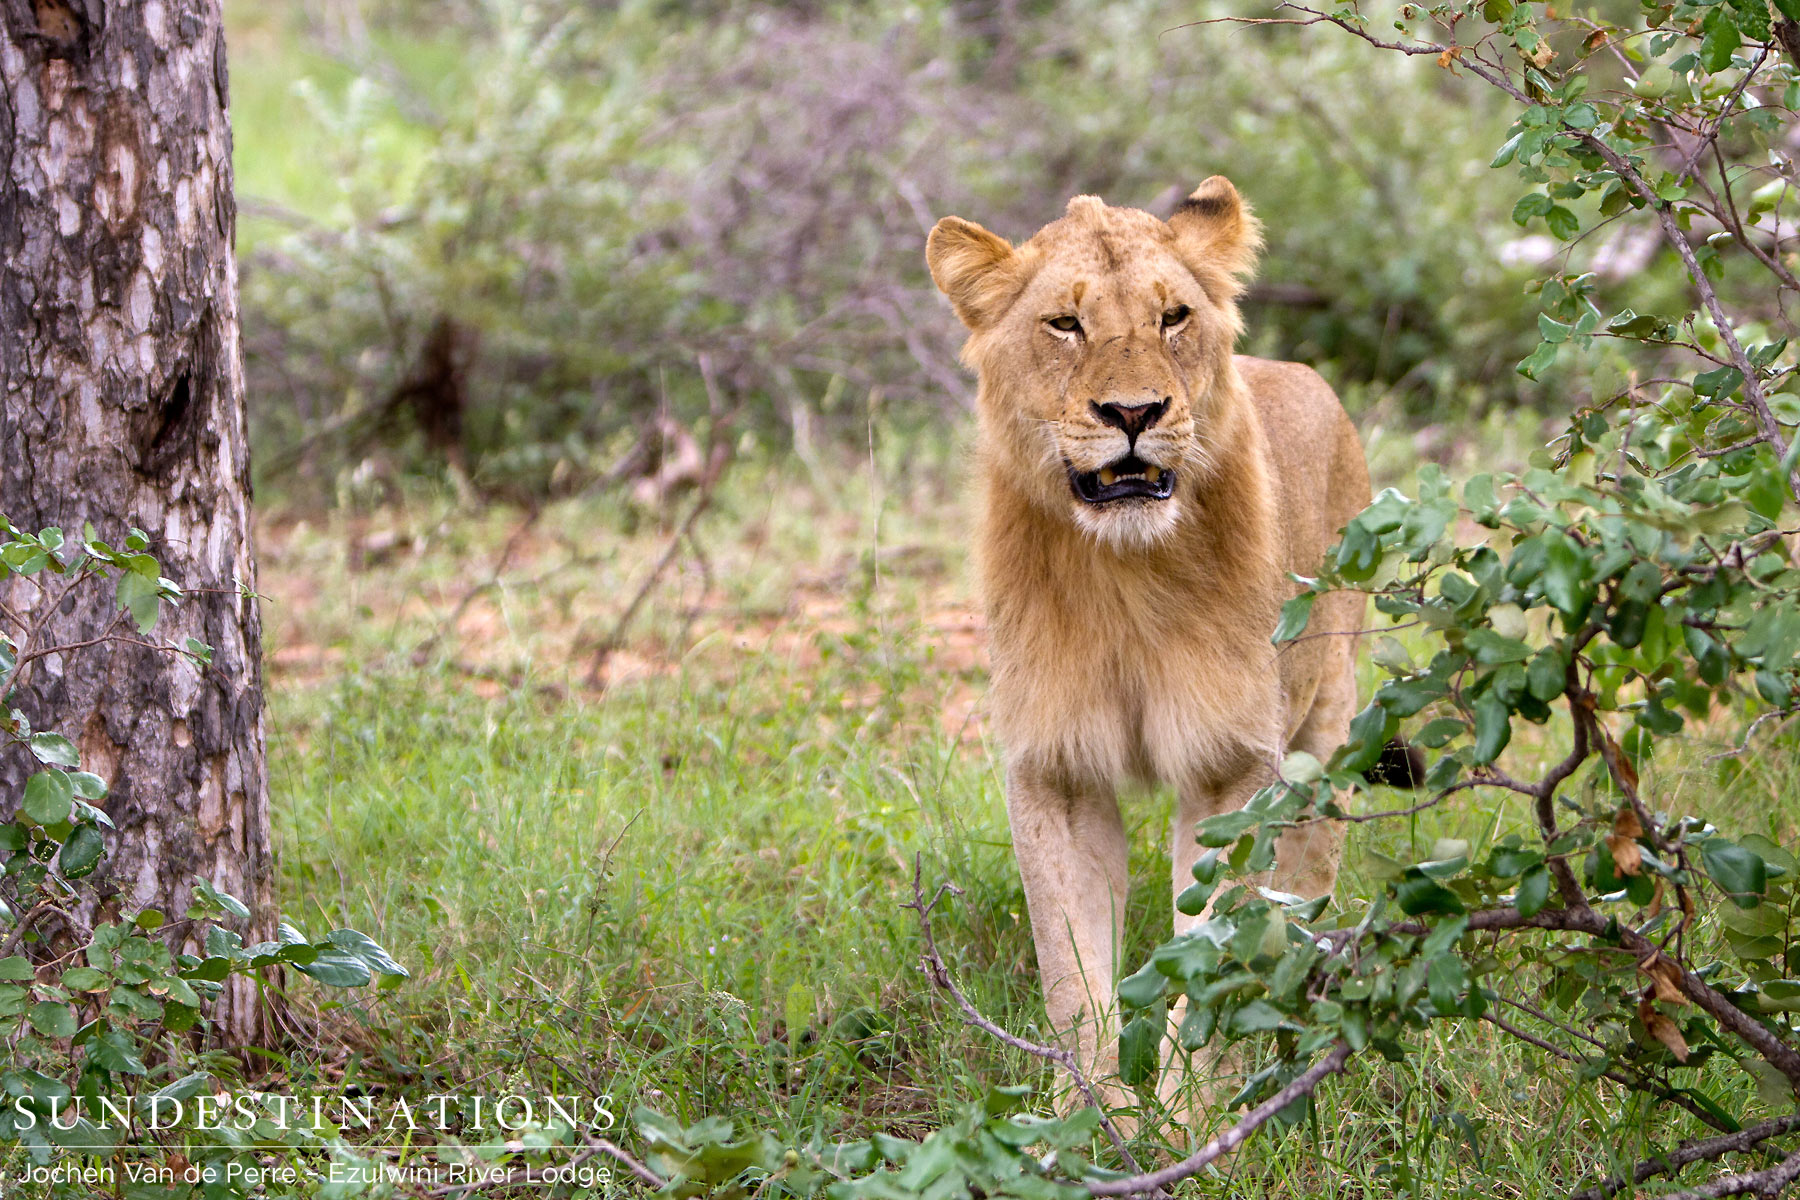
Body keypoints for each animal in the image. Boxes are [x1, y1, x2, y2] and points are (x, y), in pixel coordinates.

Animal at [926, 178, 1372, 1117]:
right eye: (1065, 324)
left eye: (1173, 317)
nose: (1133, 413)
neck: (1124, 573)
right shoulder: (1054, 769)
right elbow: (1071, 973)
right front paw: (1093, 1116)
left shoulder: (1232, 762)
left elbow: (1213, 952)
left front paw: (1189, 1117)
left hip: (1329, 721)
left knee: (1308, 871)